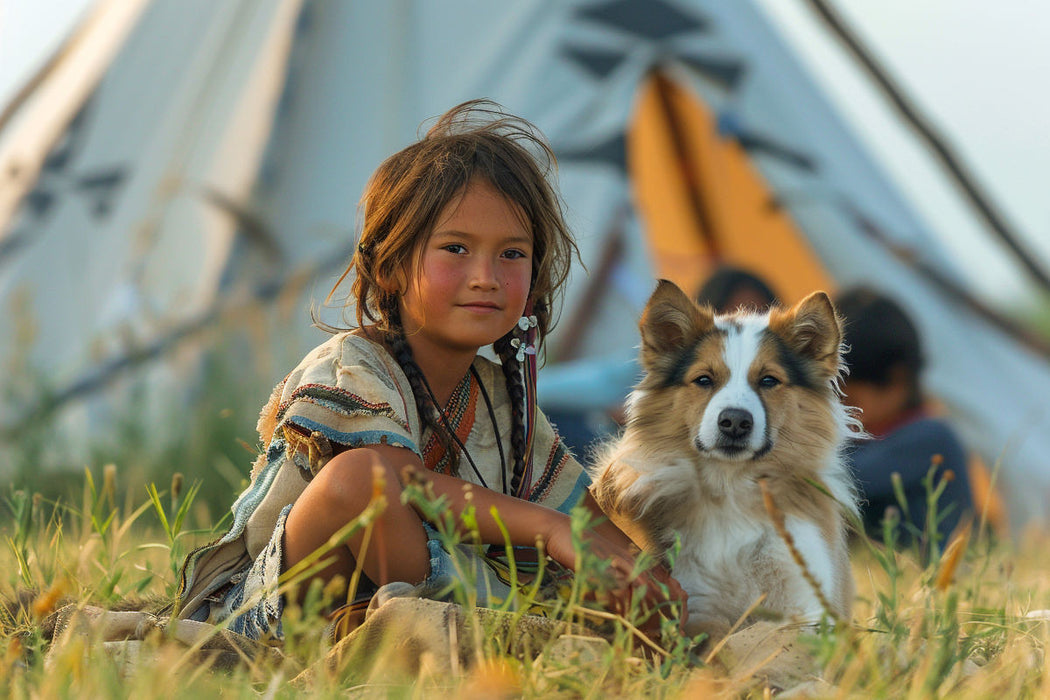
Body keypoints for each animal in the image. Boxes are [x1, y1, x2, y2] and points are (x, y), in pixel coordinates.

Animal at [588, 281, 856, 642]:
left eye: (769, 380)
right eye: (704, 380)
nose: (735, 422)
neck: (731, 487)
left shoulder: (805, 597)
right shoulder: (696, 605)